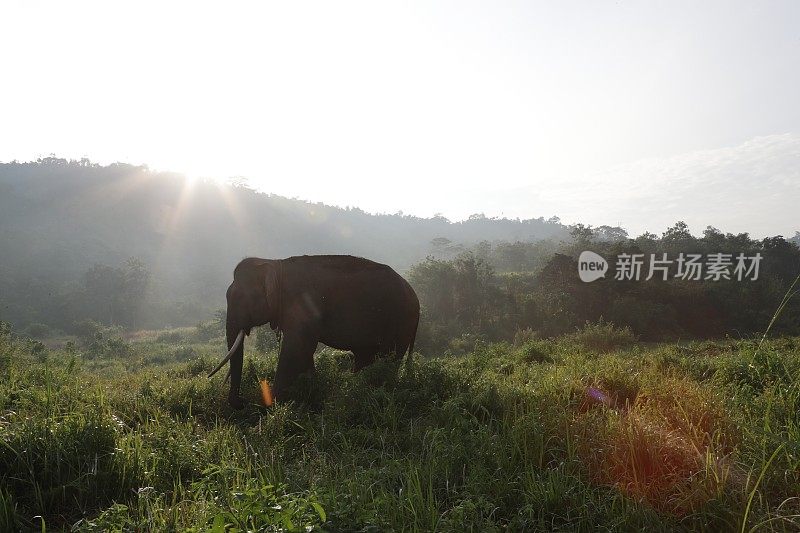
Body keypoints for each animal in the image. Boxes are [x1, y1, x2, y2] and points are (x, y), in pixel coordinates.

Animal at [208, 254, 418, 408]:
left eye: (240, 298)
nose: (241, 403)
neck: (275, 264)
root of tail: (415, 297)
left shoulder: (303, 305)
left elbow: (295, 349)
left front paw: (273, 406)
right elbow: (303, 350)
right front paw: (311, 394)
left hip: (399, 322)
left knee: (389, 358)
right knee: (366, 357)